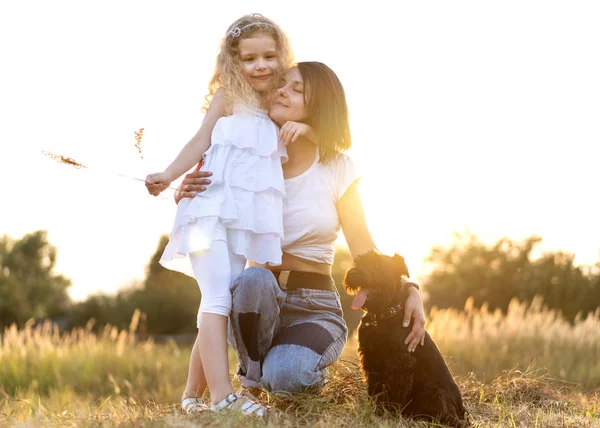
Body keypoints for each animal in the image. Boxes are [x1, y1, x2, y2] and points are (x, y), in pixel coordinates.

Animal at [342, 249, 468, 426]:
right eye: (358, 262)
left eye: (377, 265)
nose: (353, 273)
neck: (381, 316)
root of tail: (461, 411)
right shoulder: (370, 358)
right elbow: (375, 386)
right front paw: (374, 407)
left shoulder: (400, 362)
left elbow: (394, 389)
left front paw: (388, 411)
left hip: (432, 393)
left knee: (443, 417)